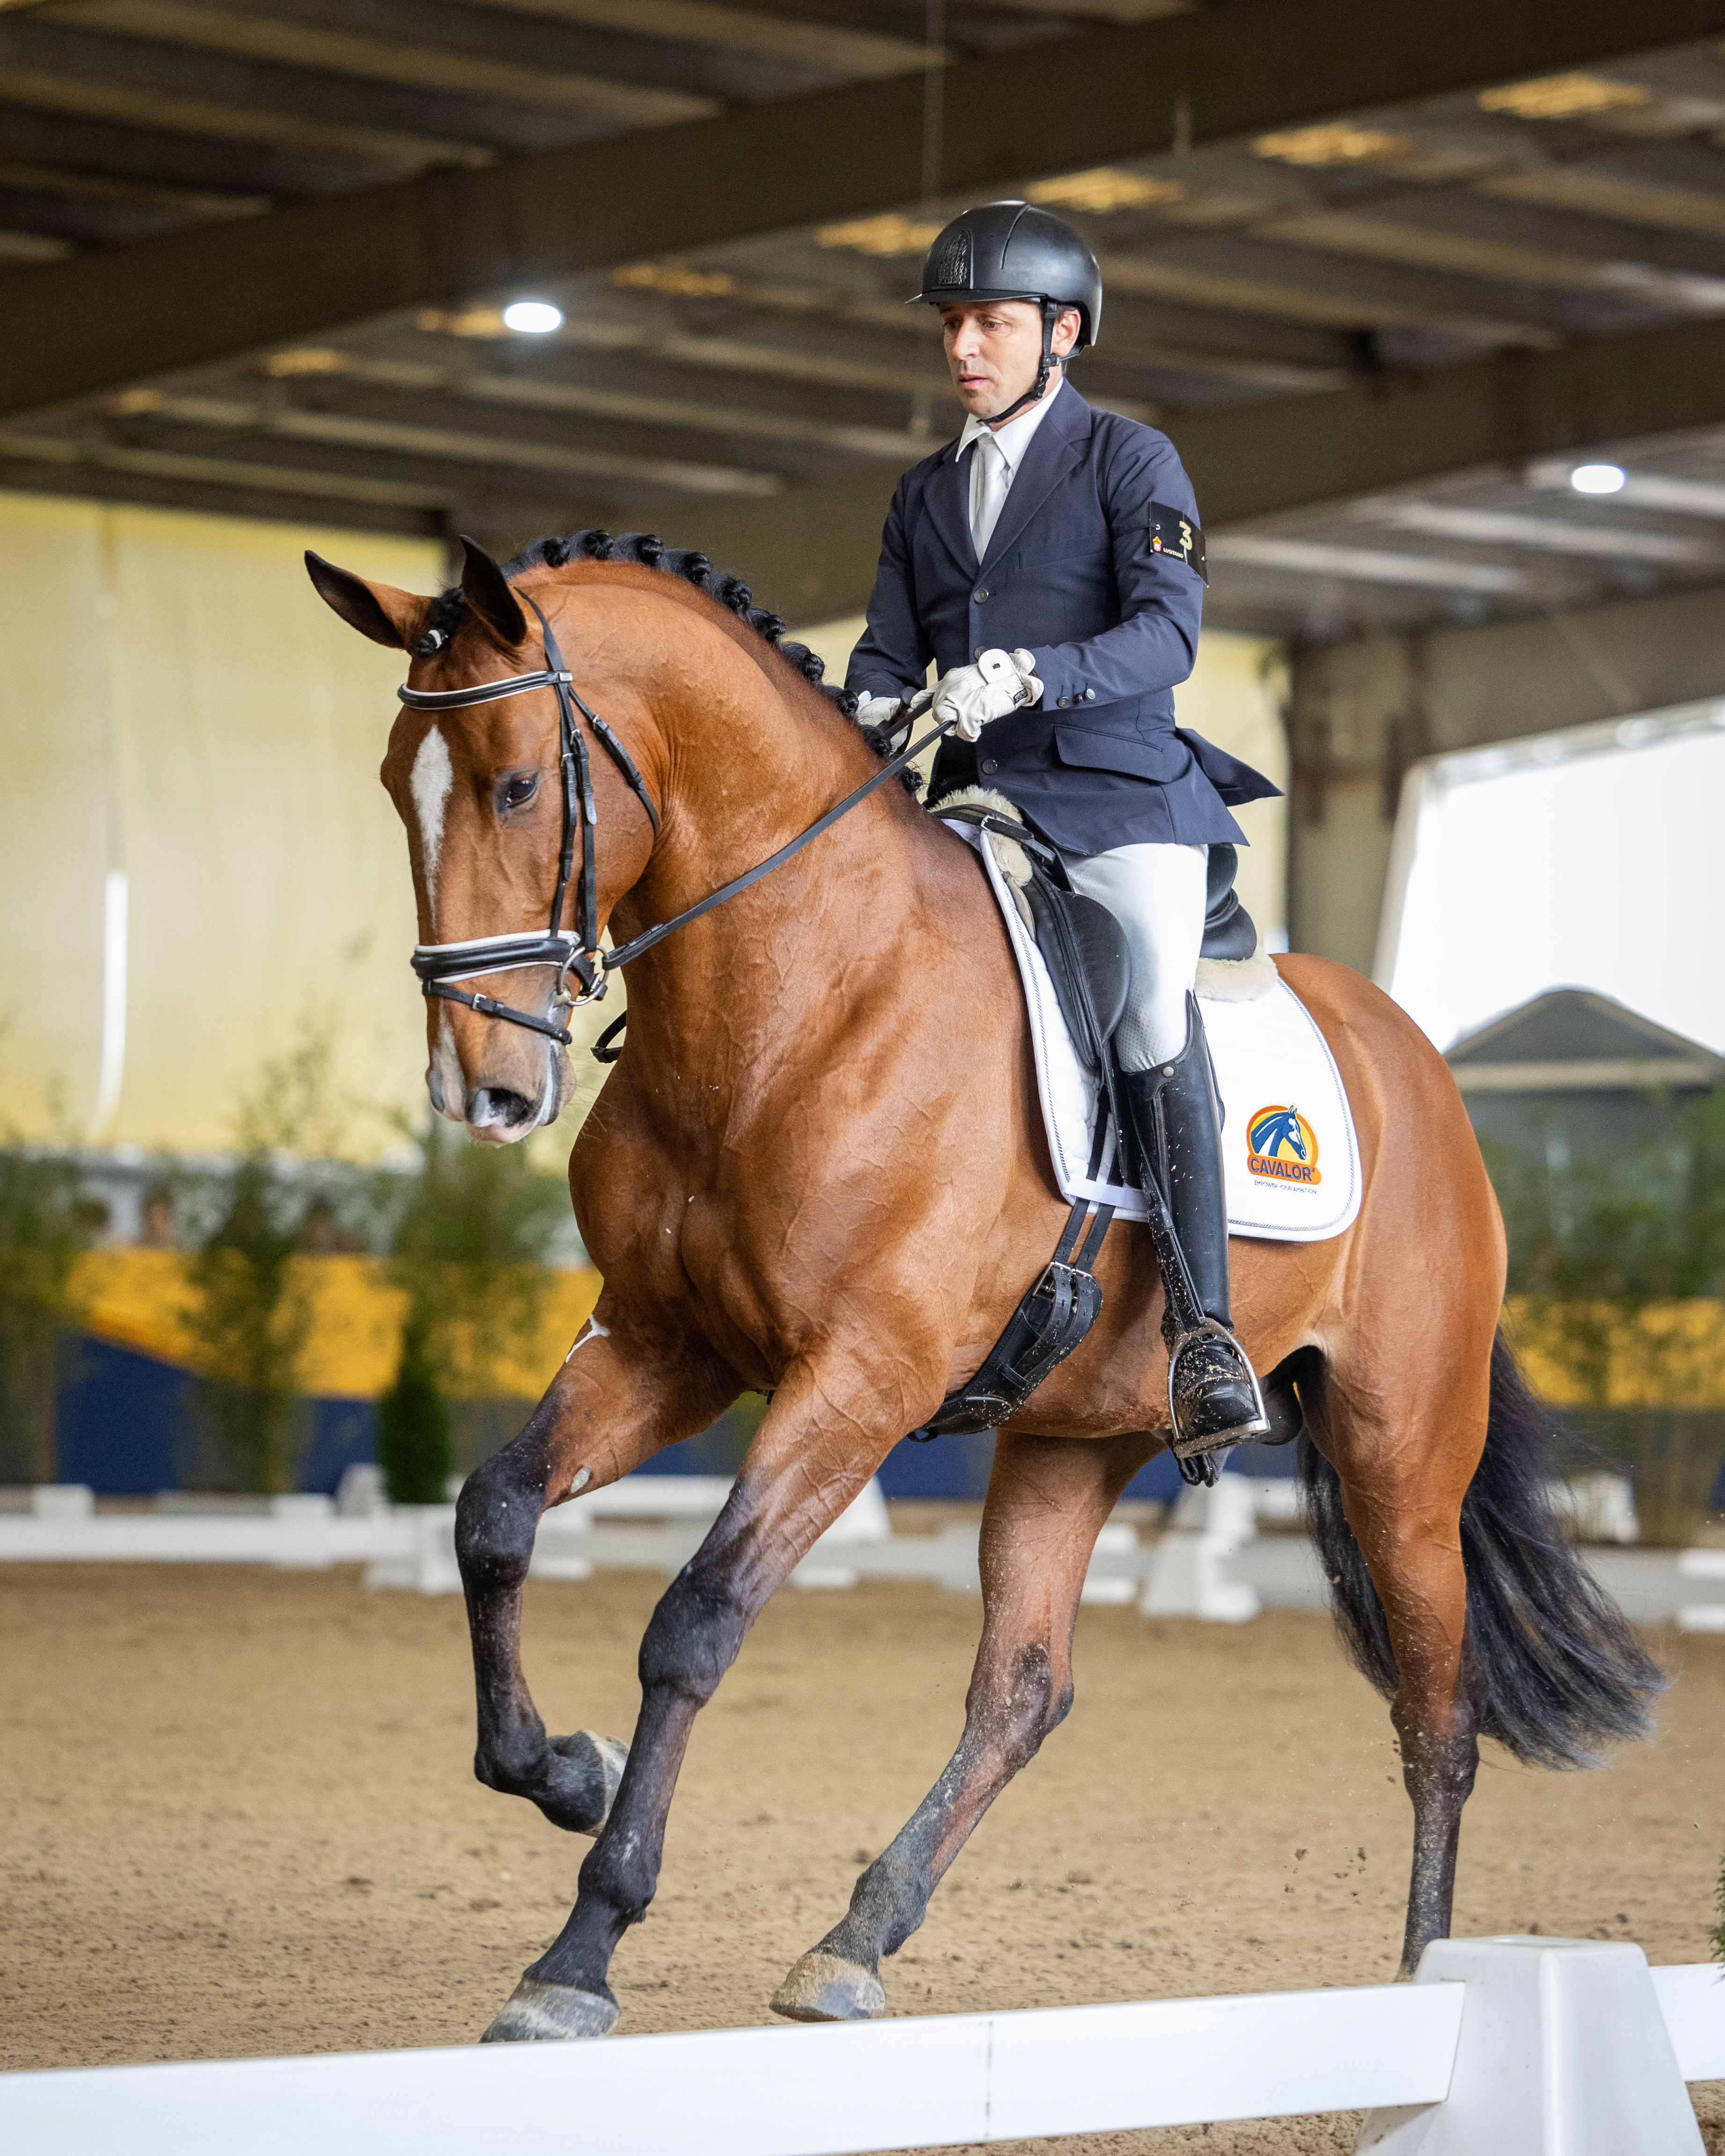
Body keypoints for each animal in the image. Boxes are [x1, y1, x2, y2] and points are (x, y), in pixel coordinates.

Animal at [306, 527, 1662, 2044]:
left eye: (518, 782)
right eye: (394, 786)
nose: (478, 1091)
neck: (791, 996)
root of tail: (1419, 1062)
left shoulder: (860, 1379)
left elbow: (697, 1620)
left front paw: (580, 1949)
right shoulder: (666, 1345)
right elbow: (492, 1515)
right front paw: (567, 1768)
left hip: (1401, 1452)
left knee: (1438, 1712)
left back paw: (1430, 1984)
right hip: (1074, 1433)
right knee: (1024, 1686)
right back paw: (856, 1936)